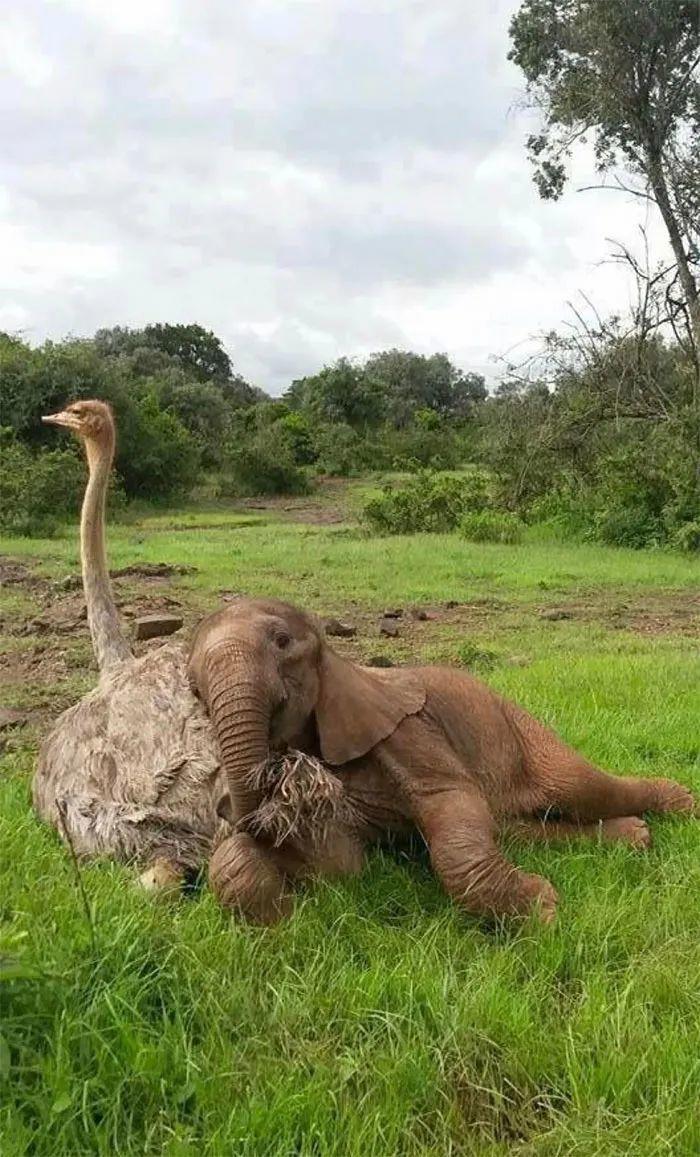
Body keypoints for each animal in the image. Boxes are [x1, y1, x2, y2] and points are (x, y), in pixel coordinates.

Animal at [187, 601, 694, 925]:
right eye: (193, 687)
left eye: (282, 641)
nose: (226, 806)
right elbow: (341, 863)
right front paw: (281, 916)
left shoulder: (408, 731)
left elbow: (451, 803)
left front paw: (544, 912)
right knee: (512, 826)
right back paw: (636, 835)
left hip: (519, 729)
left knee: (579, 787)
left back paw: (680, 804)